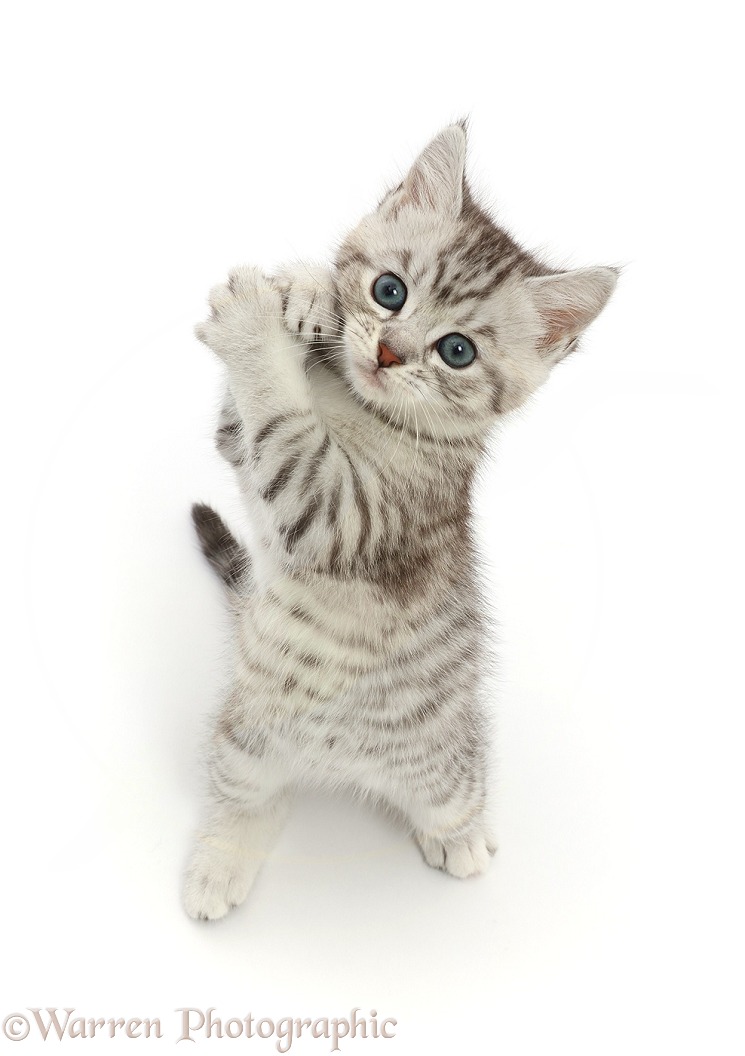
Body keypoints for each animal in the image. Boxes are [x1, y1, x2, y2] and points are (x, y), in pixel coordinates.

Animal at [182, 121, 612, 916]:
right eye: (390, 291)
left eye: (457, 351)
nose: (387, 352)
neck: (351, 404)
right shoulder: (246, 460)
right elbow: (242, 430)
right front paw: (304, 294)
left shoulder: (342, 514)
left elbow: (285, 434)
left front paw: (254, 326)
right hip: (248, 735)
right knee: (251, 798)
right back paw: (219, 865)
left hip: (443, 765)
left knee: (455, 792)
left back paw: (462, 838)